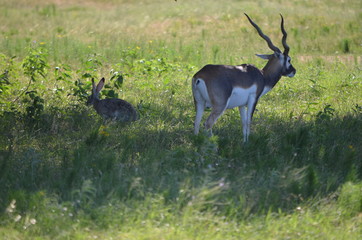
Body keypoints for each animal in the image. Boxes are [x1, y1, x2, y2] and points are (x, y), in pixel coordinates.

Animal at [191, 13, 296, 142]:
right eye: (289, 59)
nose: (294, 71)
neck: (263, 76)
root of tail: (199, 75)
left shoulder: (241, 105)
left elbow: (243, 123)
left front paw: (244, 141)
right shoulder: (253, 99)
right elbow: (249, 122)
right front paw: (247, 143)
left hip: (199, 103)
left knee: (196, 123)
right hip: (219, 106)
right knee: (208, 123)